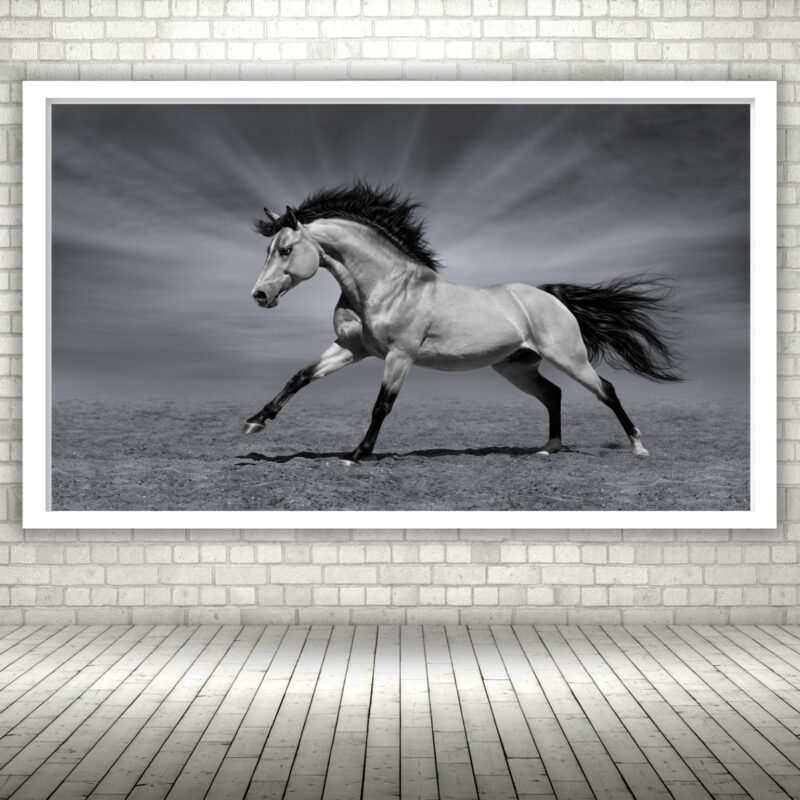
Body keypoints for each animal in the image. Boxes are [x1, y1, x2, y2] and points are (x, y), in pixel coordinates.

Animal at [243, 181, 681, 462]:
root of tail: (550, 297)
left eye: (285, 250)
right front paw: (255, 423)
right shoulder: (352, 349)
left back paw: (638, 447)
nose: (260, 296)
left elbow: (381, 405)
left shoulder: (399, 356)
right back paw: (548, 449)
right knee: (553, 394)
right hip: (516, 368)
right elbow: (299, 377)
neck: (386, 286)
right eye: (268, 250)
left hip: (569, 358)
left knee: (606, 390)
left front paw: (357, 454)